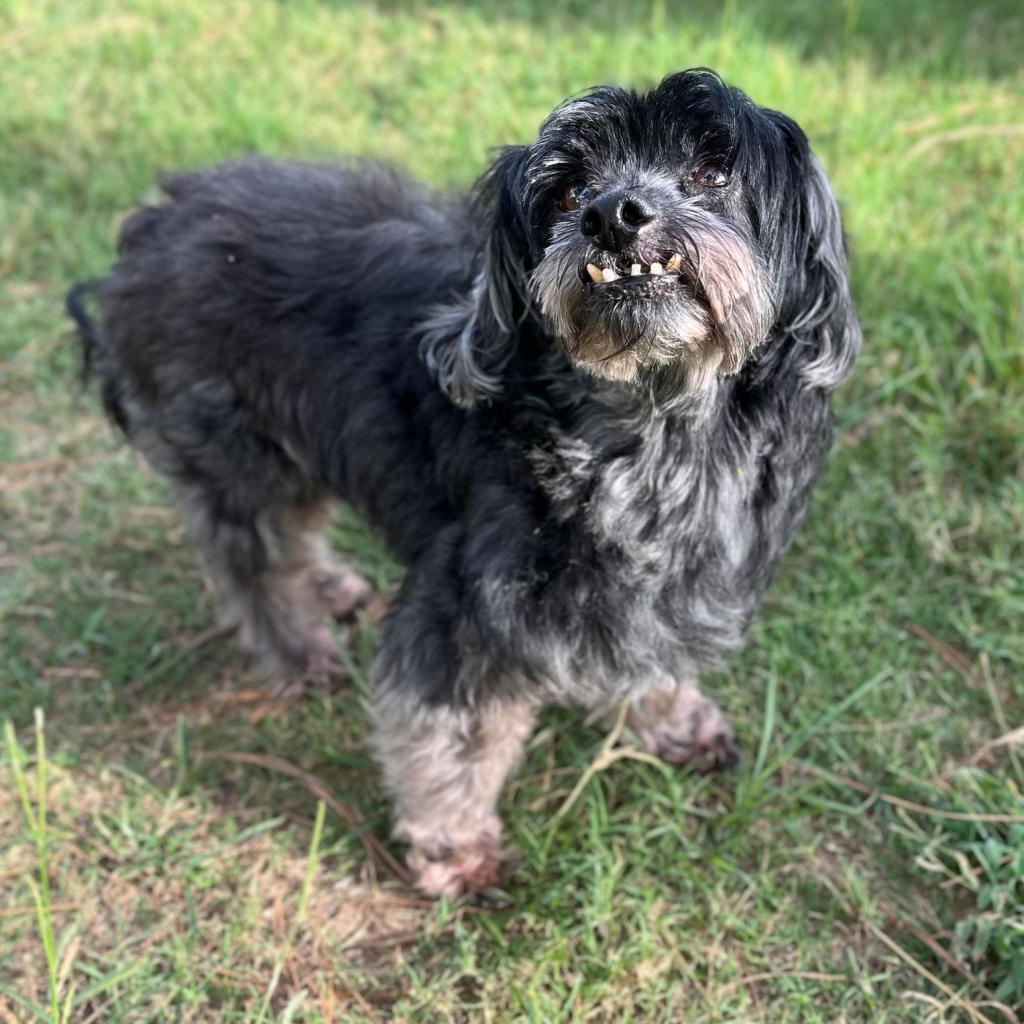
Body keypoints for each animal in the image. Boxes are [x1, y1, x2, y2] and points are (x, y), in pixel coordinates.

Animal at [68, 68, 860, 897]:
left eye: (712, 171)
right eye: (571, 190)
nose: (612, 215)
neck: (654, 423)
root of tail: (153, 221)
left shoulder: (671, 580)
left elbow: (651, 652)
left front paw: (671, 718)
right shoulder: (471, 604)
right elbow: (453, 734)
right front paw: (455, 846)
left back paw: (330, 589)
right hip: (239, 451)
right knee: (255, 563)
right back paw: (299, 649)